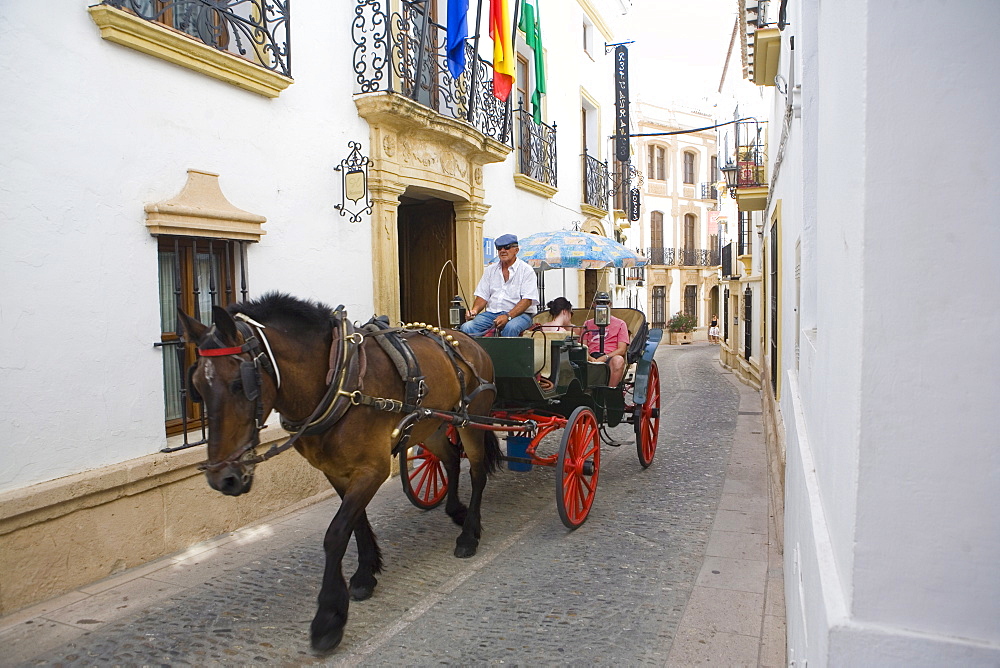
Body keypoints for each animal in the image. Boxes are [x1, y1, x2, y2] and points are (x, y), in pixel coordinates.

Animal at [178, 292, 500, 652]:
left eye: (238, 384)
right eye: (196, 386)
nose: (223, 478)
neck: (338, 380)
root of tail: (467, 340)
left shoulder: (373, 469)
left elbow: (335, 534)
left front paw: (329, 617)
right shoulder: (334, 470)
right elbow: (354, 523)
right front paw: (365, 573)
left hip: (473, 420)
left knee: (476, 472)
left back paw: (469, 534)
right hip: (430, 424)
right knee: (450, 459)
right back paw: (455, 510)